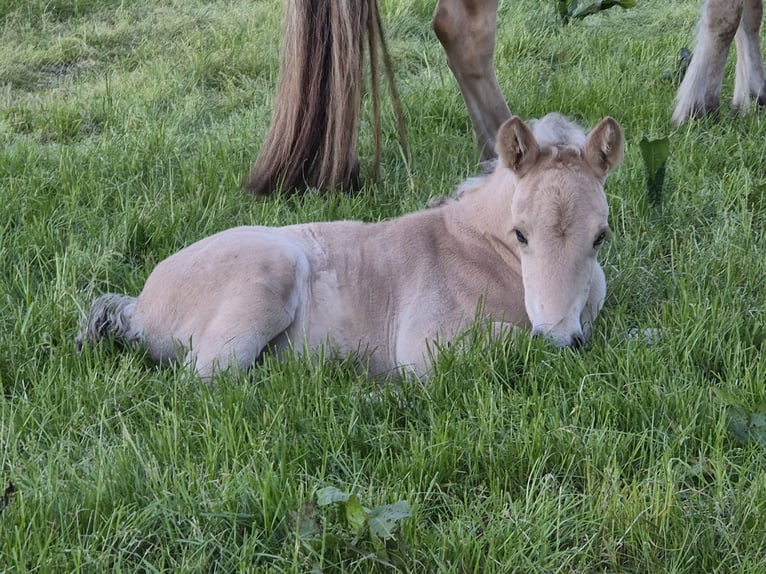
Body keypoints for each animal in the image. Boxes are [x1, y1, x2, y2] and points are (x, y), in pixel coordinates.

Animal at [78, 114, 624, 381]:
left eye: (600, 236)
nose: (561, 335)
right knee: (213, 380)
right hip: (271, 270)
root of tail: (139, 306)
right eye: (520, 234)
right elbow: (521, 343)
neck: (478, 249)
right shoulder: (428, 345)